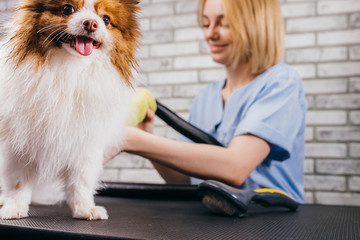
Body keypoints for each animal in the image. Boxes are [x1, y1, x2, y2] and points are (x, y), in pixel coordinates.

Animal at [0, 0, 140, 220]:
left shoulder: (84, 143)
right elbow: (17, 181)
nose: (91, 23)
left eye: (106, 19)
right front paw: (14, 207)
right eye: (68, 9)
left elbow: (81, 181)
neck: (70, 67)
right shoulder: (18, 142)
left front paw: (85, 209)